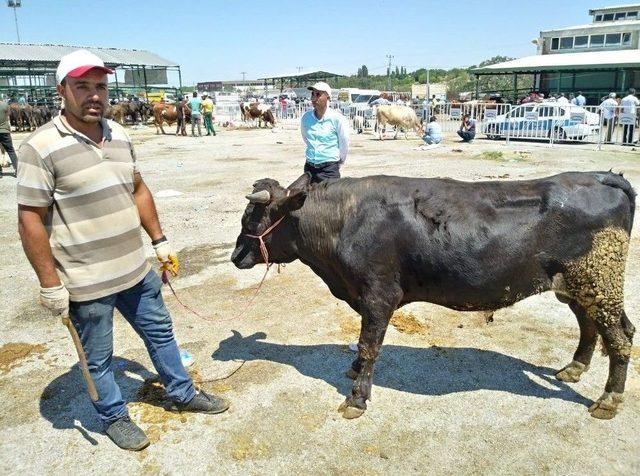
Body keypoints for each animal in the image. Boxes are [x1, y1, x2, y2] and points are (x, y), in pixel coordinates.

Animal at [232, 172, 636, 420]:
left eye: (252, 218)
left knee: (619, 337)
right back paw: (575, 368)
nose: (236, 255)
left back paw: (608, 400)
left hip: (598, 280)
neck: (345, 220)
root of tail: (599, 176)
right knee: (596, 326)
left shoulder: (379, 293)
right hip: (581, 285)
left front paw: (357, 398)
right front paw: (354, 371)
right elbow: (364, 345)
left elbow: (369, 344)